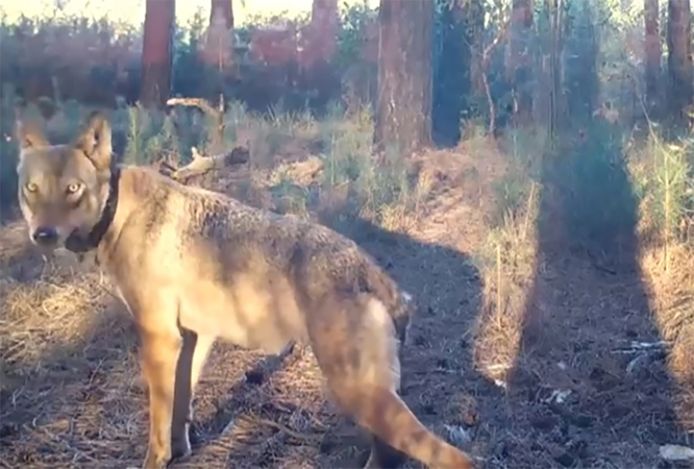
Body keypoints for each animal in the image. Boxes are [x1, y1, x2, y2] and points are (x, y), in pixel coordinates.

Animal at [14, 110, 474, 468]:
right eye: (32, 189)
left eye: (73, 189)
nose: (42, 235)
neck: (118, 214)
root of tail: (374, 273)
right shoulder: (192, 338)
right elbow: (181, 411)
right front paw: (182, 452)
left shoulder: (159, 338)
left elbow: (158, 426)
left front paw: (156, 459)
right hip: (369, 400)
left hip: (360, 394)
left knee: (455, 457)